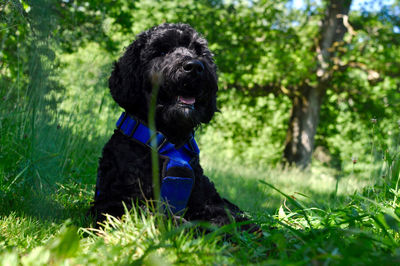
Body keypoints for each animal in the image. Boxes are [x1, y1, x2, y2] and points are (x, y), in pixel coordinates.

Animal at [90, 22, 256, 231]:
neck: (170, 138)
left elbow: (226, 217)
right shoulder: (113, 203)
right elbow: (153, 215)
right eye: (162, 51)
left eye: (198, 51)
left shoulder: (209, 201)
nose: (194, 67)